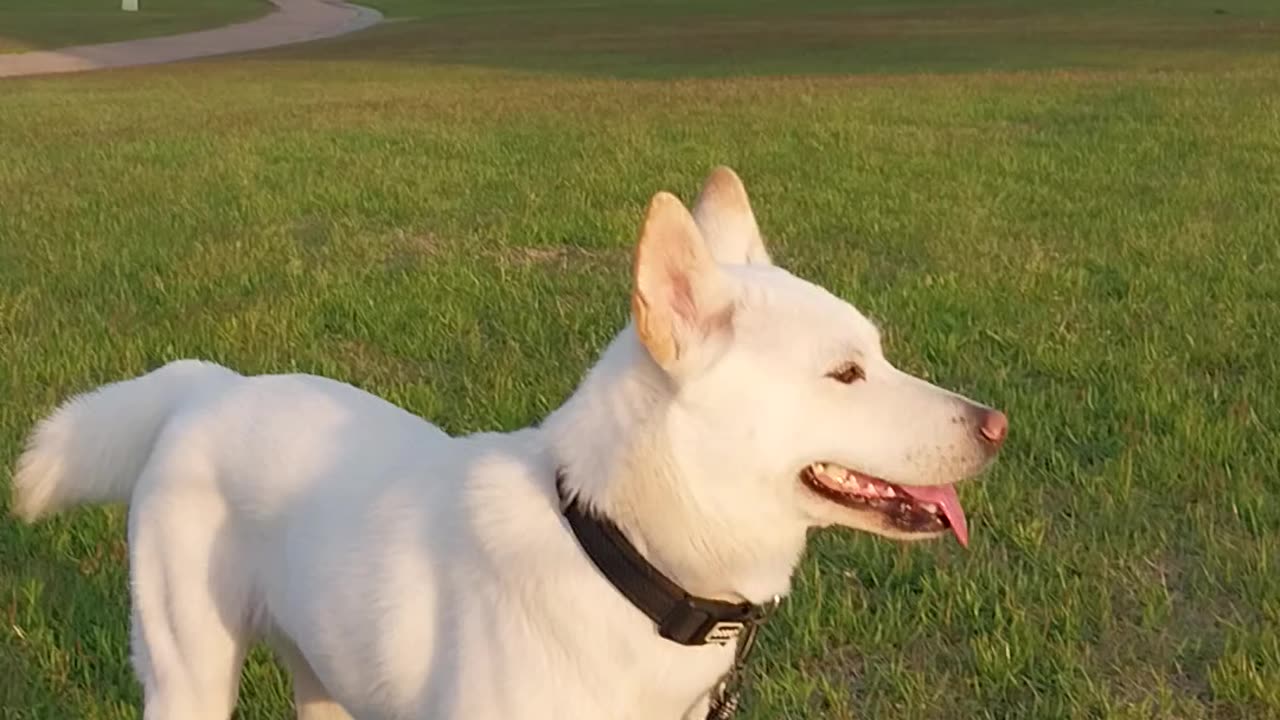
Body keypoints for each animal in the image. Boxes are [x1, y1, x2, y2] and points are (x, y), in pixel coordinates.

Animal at [12, 167, 1008, 717]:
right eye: (846, 374)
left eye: (877, 354)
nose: (997, 427)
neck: (620, 561)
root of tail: (210, 386)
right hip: (187, 680)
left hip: (327, 674)